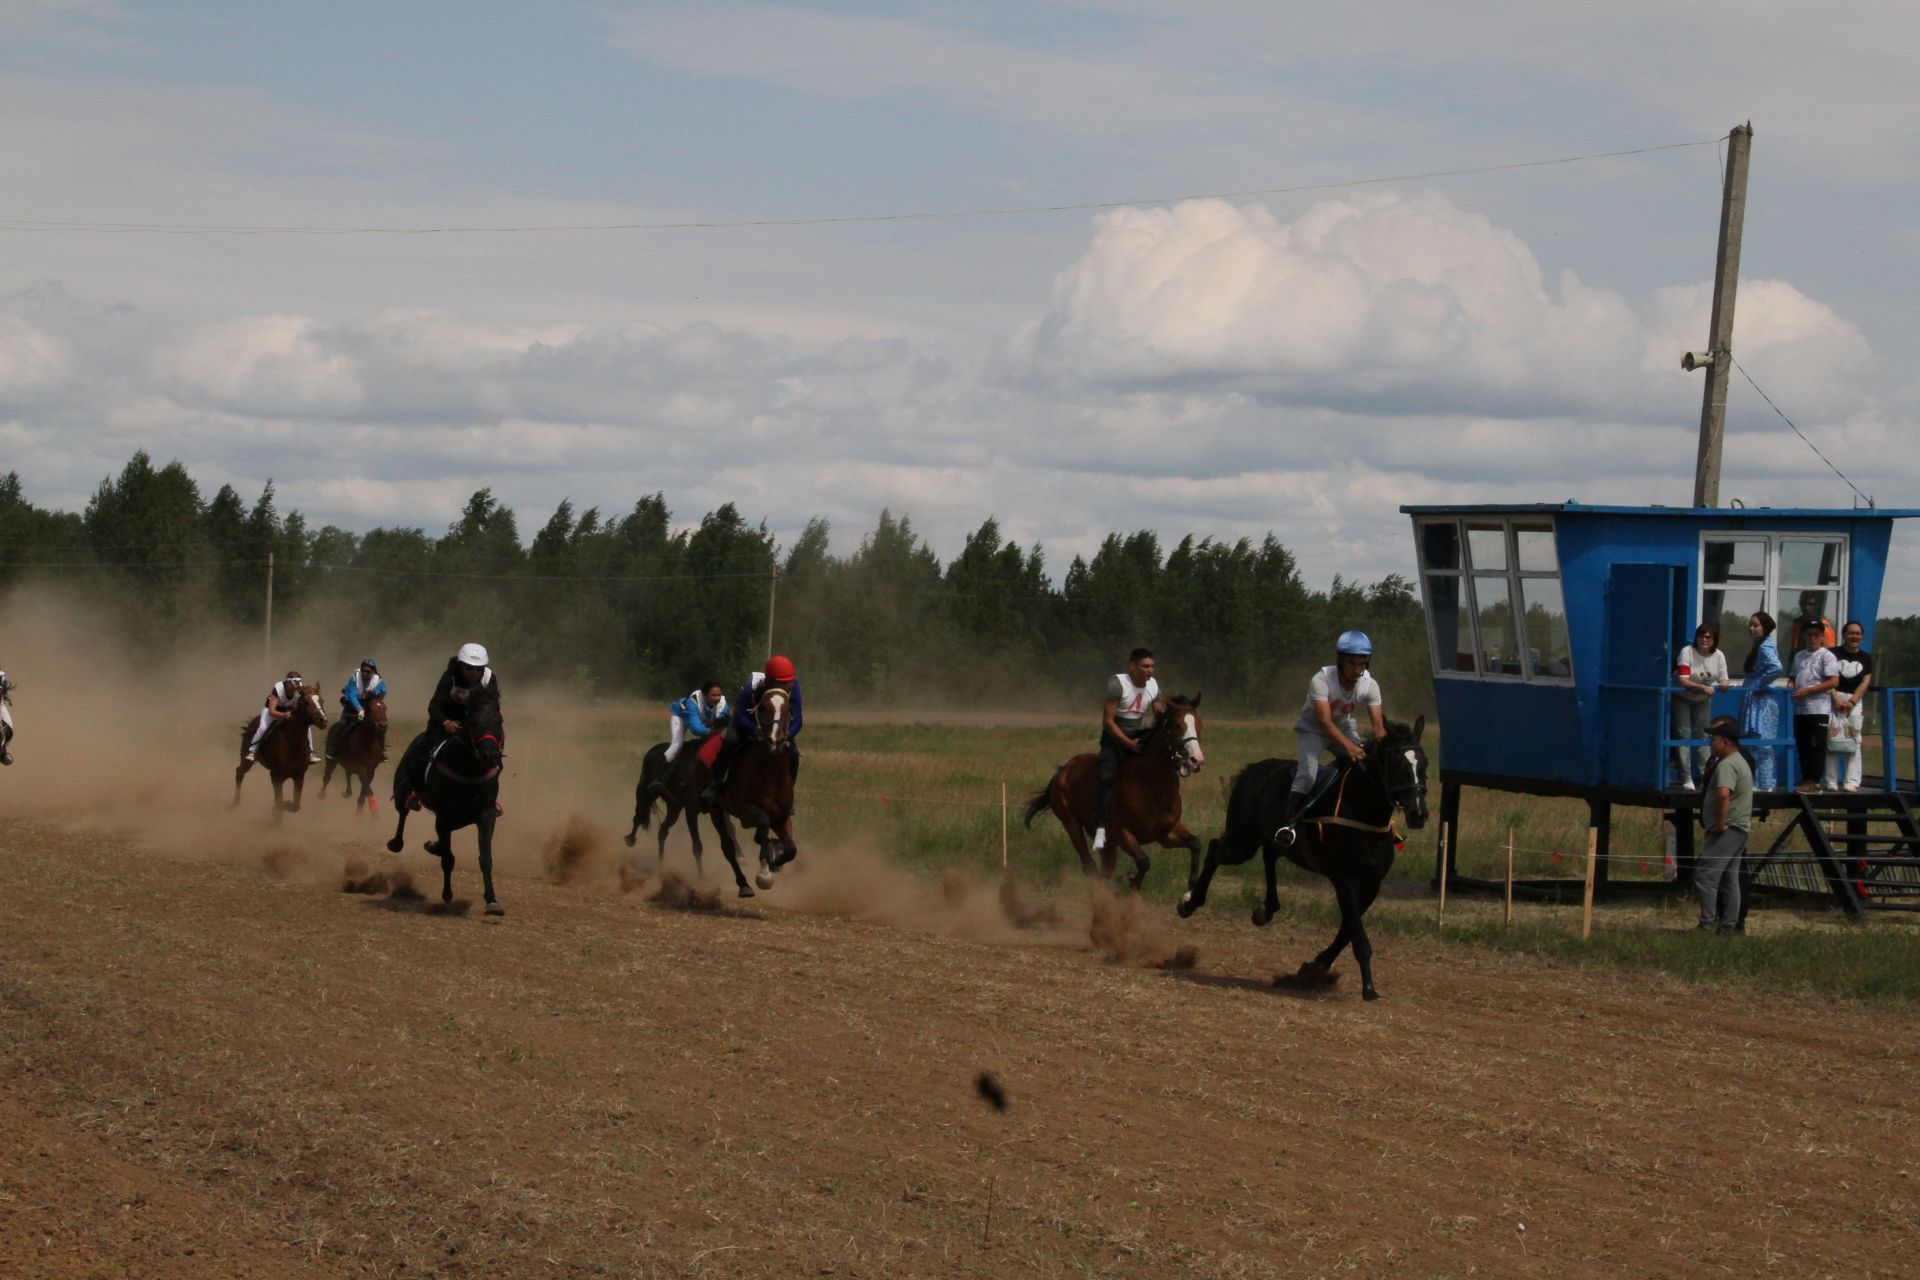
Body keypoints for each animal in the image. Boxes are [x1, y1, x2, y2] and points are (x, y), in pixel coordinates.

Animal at [235, 687, 330, 817]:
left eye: (322, 700)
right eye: (306, 702)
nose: (323, 721)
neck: (292, 744)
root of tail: (252, 722)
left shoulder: (299, 775)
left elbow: (295, 806)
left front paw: (286, 805)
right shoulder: (276, 776)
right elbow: (279, 801)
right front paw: (278, 809)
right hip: (246, 759)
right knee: (239, 772)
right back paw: (235, 803)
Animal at [385, 694, 506, 917]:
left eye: (499, 721)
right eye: (473, 722)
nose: (489, 754)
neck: (469, 771)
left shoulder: (486, 816)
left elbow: (485, 857)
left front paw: (492, 901)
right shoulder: (444, 818)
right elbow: (448, 858)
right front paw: (447, 895)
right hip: (402, 791)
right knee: (403, 814)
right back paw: (397, 843)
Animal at [706, 690, 794, 901]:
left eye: (788, 709)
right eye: (763, 708)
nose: (775, 741)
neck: (771, 773)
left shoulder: (781, 816)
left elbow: (791, 849)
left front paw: (775, 861)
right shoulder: (745, 811)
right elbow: (762, 822)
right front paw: (764, 873)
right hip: (715, 808)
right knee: (728, 847)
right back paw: (744, 885)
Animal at [1021, 694, 1198, 898]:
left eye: (1199, 723)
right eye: (1176, 724)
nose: (1195, 760)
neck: (1152, 786)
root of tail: (1063, 770)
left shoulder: (1166, 835)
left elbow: (1196, 843)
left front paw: (1190, 893)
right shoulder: (1121, 832)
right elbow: (1143, 861)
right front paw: (1128, 882)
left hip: (1108, 844)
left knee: (1102, 869)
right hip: (1072, 823)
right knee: (1090, 866)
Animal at [1167, 721, 1428, 997]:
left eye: (1424, 764)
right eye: (1397, 764)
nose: (1418, 813)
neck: (1363, 813)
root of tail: (1253, 769)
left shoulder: (1372, 884)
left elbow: (1347, 930)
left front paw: (1315, 966)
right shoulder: (1344, 880)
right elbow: (1357, 933)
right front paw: (1369, 987)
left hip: (1266, 837)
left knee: (1269, 855)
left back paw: (1266, 909)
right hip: (1242, 841)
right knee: (1216, 849)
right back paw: (1190, 902)